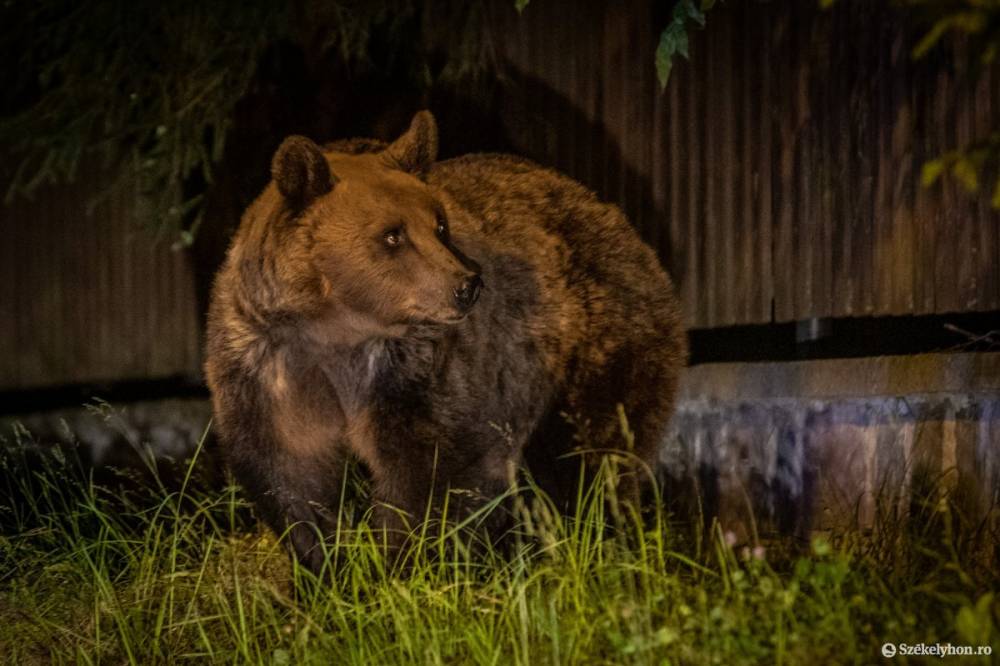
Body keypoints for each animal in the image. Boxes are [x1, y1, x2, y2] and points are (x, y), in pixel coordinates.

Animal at [203, 109, 688, 572]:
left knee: (597, 452)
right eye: (393, 234)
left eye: (439, 225)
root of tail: (607, 212)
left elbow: (435, 473)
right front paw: (325, 568)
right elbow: (292, 478)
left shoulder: (417, 375)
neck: (339, 333)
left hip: (598, 349)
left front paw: (402, 563)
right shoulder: (269, 371)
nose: (466, 285)